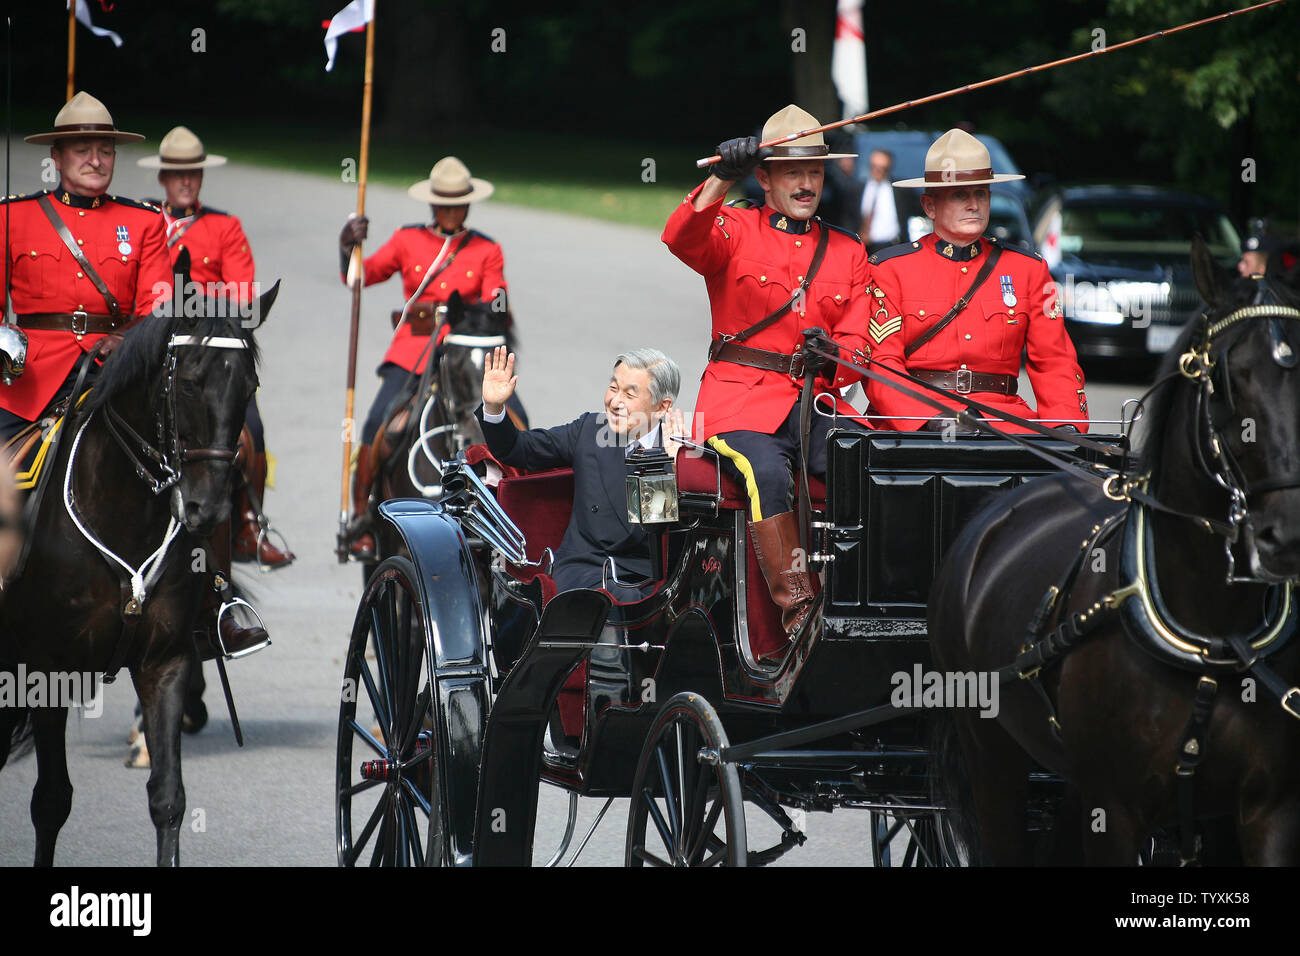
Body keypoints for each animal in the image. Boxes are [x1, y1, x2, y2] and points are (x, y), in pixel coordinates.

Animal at [0, 274, 274, 868]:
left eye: (249, 387)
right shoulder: (45, 667)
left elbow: (168, 799)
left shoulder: (164, 660)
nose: (207, 510)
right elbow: (51, 799)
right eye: (189, 383)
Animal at [930, 240, 1300, 868]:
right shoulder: (1117, 809)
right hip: (991, 754)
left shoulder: (1267, 812)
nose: (1287, 532)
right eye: (1227, 379)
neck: (1211, 635)